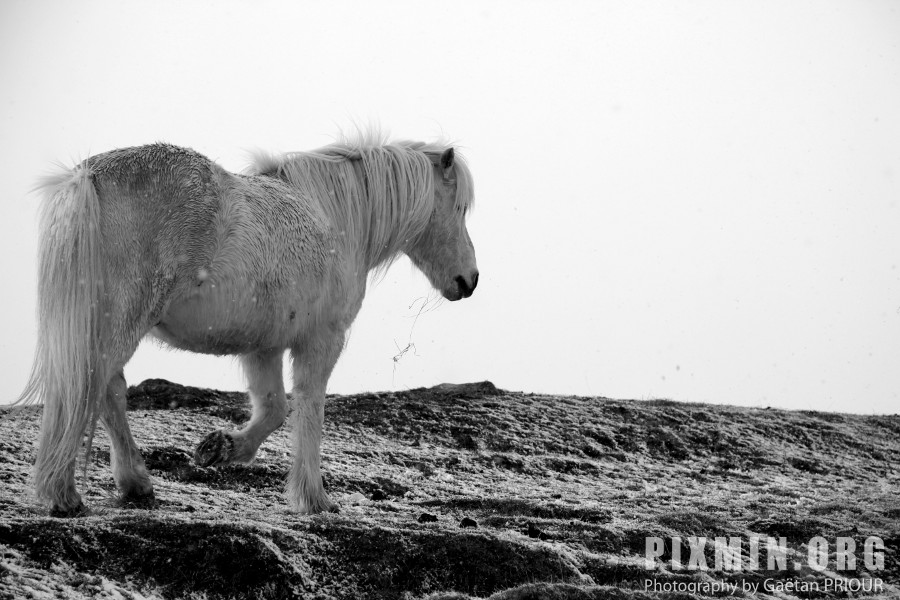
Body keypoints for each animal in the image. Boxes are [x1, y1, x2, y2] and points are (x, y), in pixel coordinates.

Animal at [19, 135, 478, 516]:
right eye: (458, 208)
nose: (469, 280)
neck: (333, 218)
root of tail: (89, 176)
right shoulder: (322, 339)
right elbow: (309, 408)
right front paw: (314, 498)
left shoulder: (263, 346)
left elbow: (273, 409)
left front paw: (220, 449)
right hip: (123, 321)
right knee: (94, 388)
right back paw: (65, 494)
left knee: (106, 391)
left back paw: (134, 485)